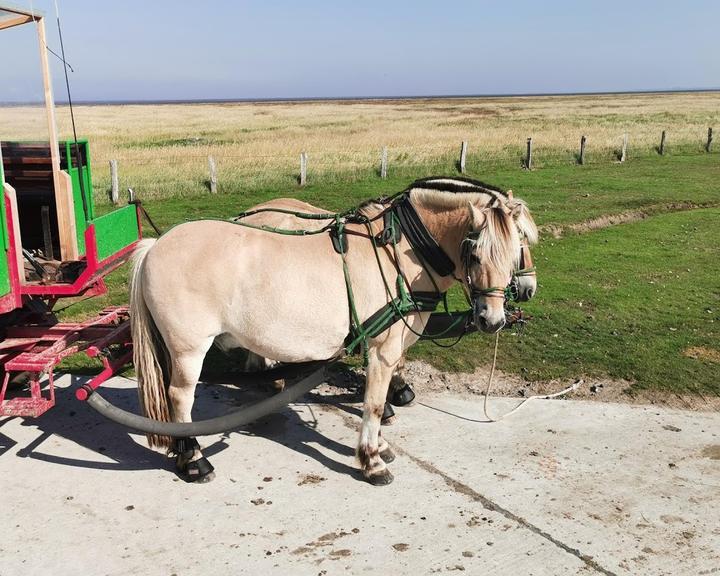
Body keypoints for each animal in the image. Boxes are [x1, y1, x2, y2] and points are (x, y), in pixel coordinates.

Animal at [131, 179, 528, 482]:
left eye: (516, 251)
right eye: (474, 253)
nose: (492, 319)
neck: (399, 251)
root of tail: (156, 246)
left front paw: (380, 445)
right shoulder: (383, 349)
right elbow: (373, 403)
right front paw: (371, 460)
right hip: (188, 348)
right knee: (179, 397)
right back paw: (194, 459)